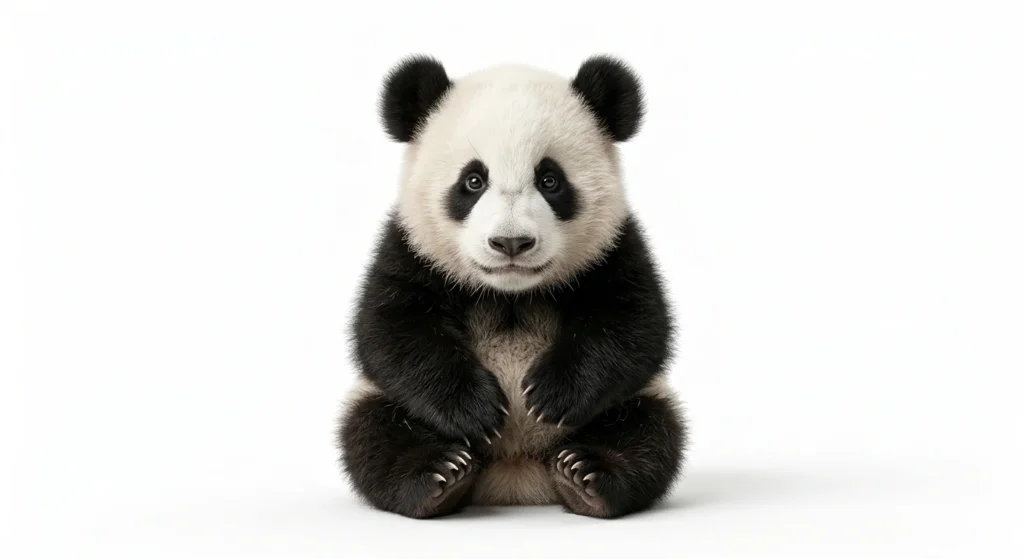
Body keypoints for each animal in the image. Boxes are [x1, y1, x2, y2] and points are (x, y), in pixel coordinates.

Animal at [336, 54, 687, 519]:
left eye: (550, 180)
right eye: (473, 180)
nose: (511, 243)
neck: (510, 292)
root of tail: (516, 473)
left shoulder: (613, 248)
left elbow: (634, 323)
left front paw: (552, 395)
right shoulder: (411, 249)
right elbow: (390, 331)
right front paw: (475, 410)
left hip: (640, 400)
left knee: (652, 431)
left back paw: (586, 475)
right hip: (377, 400)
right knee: (371, 433)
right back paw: (440, 475)